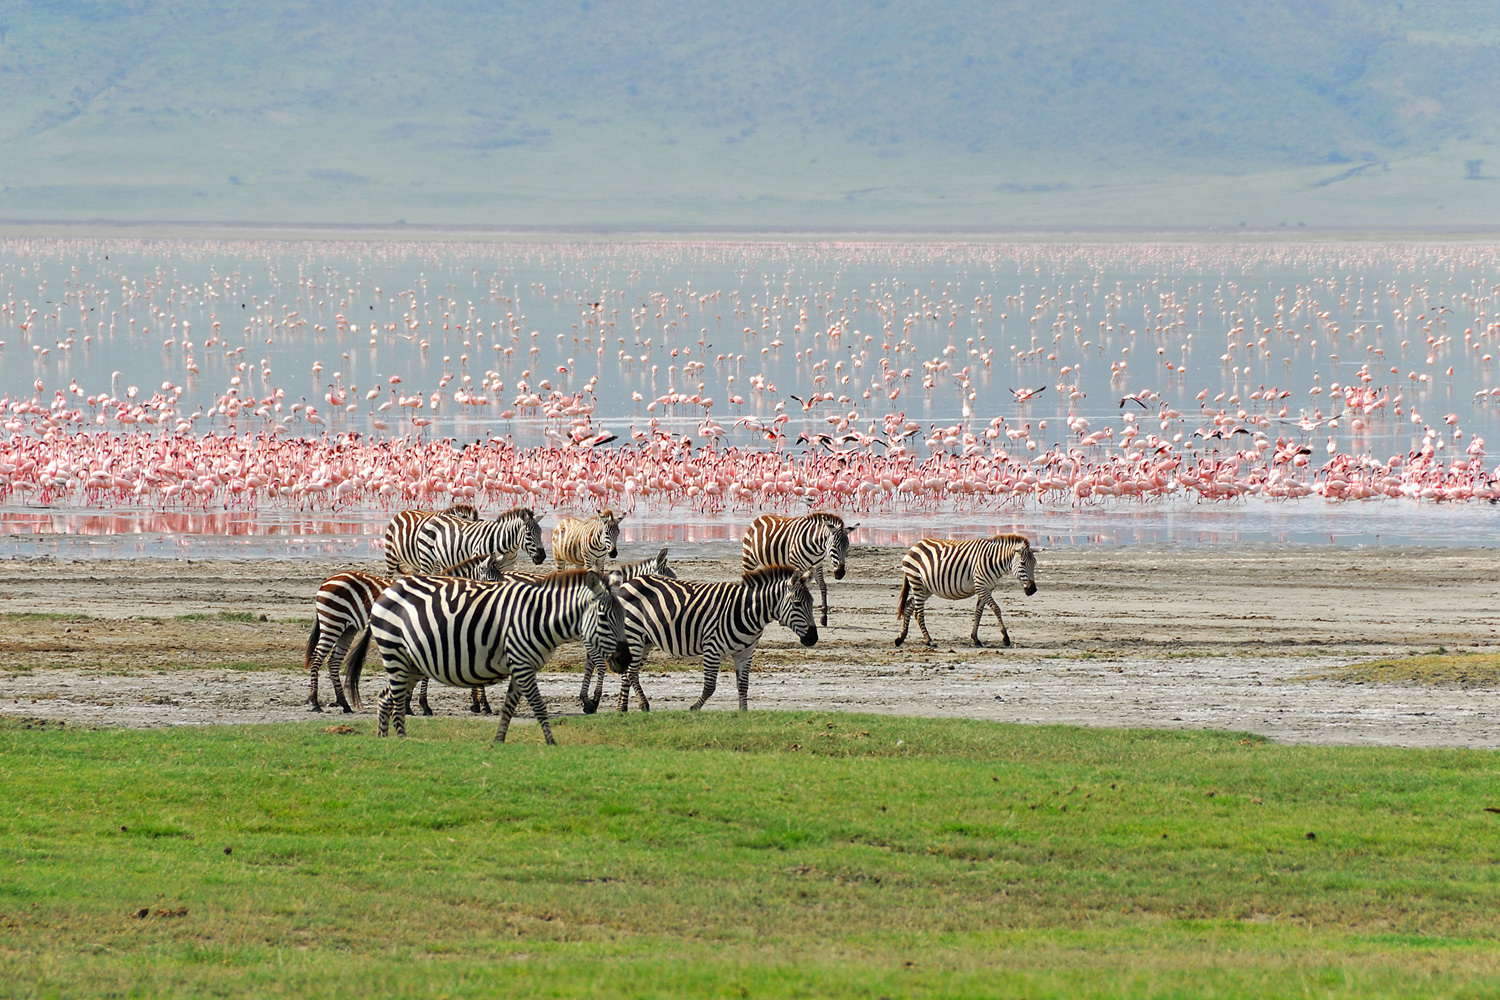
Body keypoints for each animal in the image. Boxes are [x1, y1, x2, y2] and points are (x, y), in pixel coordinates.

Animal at [352, 569, 627, 743]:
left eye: (623, 615)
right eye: (603, 617)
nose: (623, 660)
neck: (538, 617)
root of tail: (388, 590)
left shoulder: (522, 666)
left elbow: (508, 708)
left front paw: (498, 742)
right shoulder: (522, 664)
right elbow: (539, 706)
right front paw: (552, 744)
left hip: (411, 663)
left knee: (385, 697)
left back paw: (385, 741)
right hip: (395, 653)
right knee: (397, 700)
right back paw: (401, 741)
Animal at [414, 503, 549, 575]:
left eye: (541, 532)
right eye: (528, 534)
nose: (542, 557)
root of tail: (435, 517)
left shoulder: (507, 569)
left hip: (443, 561)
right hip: (427, 558)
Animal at [588, 566, 822, 716]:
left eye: (812, 602)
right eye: (797, 603)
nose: (813, 638)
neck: (749, 611)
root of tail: (629, 582)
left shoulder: (745, 653)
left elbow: (743, 684)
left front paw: (743, 712)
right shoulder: (713, 648)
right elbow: (710, 686)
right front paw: (694, 708)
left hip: (645, 640)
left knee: (630, 672)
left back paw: (630, 707)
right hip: (634, 634)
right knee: (630, 672)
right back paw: (632, 707)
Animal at [894, 530, 1038, 650]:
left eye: (1035, 563)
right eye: (1022, 564)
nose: (1033, 590)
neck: (993, 560)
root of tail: (915, 545)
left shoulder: (987, 588)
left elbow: (978, 613)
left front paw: (975, 639)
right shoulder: (980, 586)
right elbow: (996, 608)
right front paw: (1005, 638)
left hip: (926, 588)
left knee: (908, 606)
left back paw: (901, 638)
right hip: (916, 581)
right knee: (919, 612)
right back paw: (929, 641)